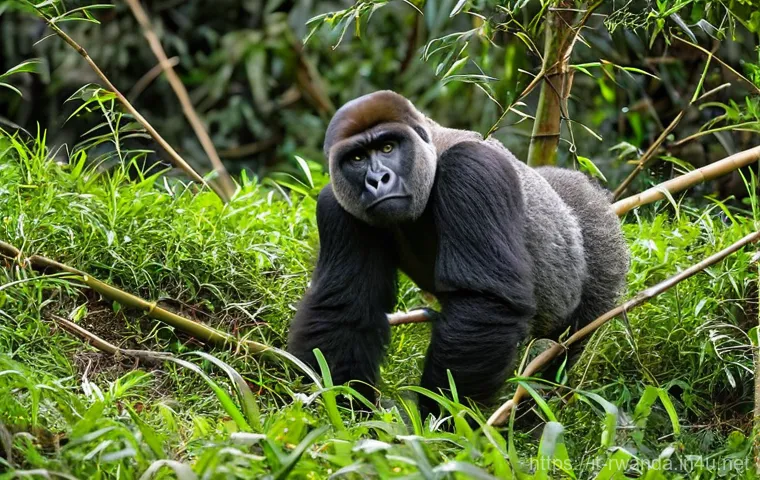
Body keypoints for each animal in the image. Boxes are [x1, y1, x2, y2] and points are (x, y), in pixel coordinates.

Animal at [287, 90, 629, 419]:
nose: (376, 180)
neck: (432, 152)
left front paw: (441, 422)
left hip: (600, 234)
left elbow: (484, 303)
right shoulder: (334, 202)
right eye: (357, 157)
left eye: (387, 148)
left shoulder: (472, 169)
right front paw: (340, 409)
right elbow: (344, 310)